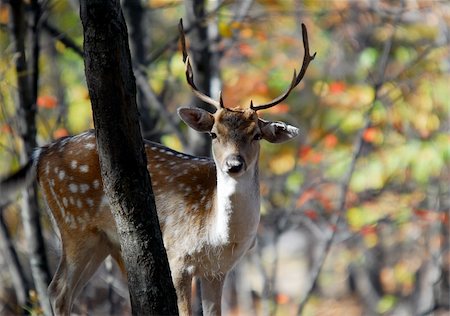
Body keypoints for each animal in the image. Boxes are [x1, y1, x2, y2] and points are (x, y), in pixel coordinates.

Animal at [0, 21, 316, 314]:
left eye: (257, 135)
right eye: (214, 134)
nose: (233, 164)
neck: (220, 237)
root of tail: (40, 153)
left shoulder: (218, 270)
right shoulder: (177, 256)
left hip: (103, 240)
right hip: (74, 224)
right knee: (57, 289)